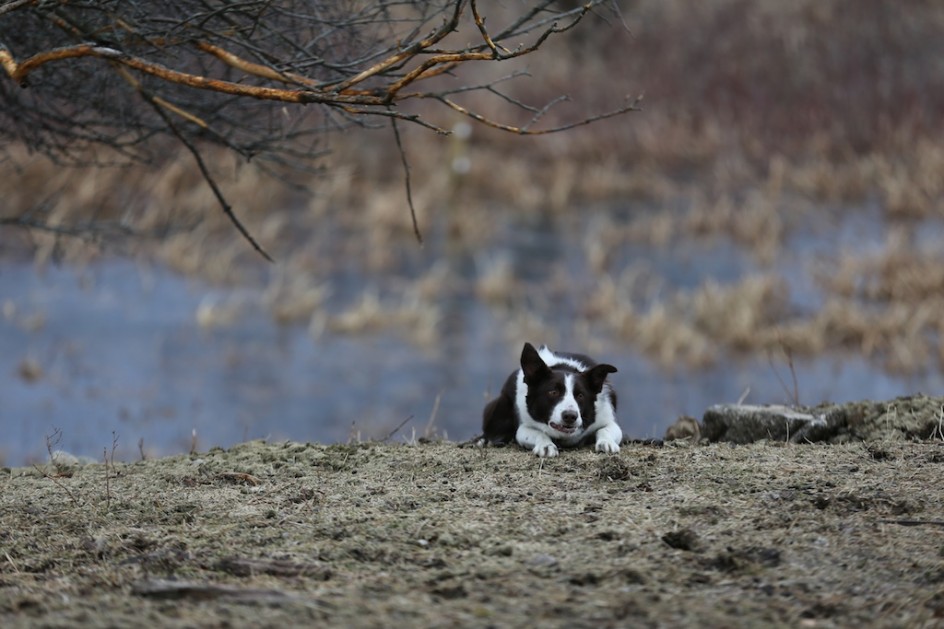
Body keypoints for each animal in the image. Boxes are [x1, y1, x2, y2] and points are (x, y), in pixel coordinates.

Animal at [484, 344, 624, 456]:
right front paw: (546, 445)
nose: (570, 416)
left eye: (580, 395)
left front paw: (606, 442)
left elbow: (606, 429)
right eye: (553, 392)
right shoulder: (524, 426)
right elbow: (538, 433)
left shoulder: (606, 416)